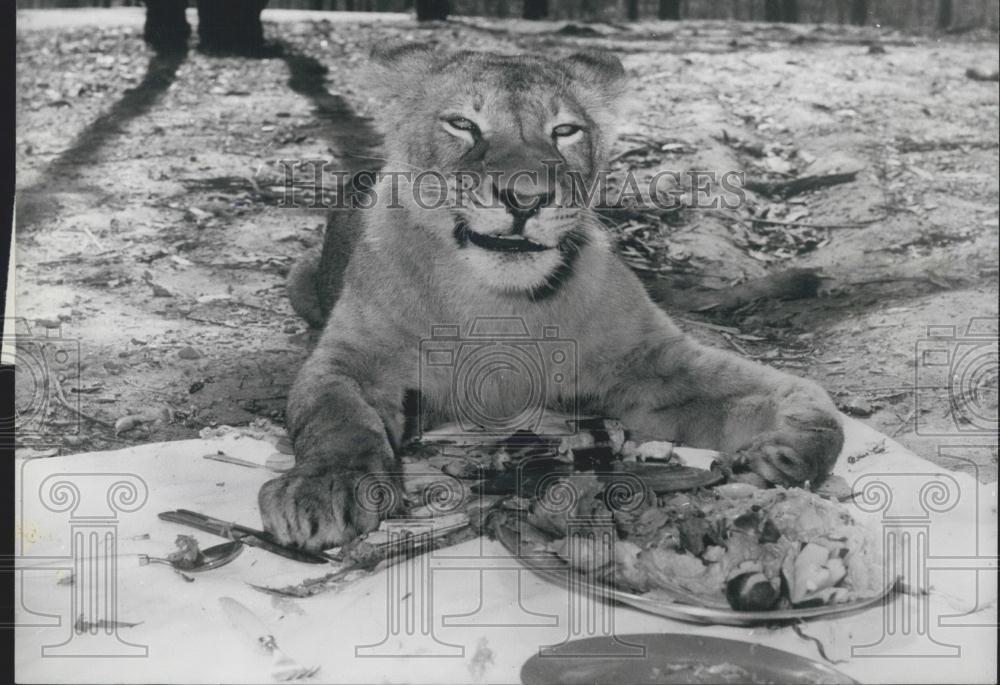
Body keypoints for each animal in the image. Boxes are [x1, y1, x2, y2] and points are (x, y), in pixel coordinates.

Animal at [260, 45, 844, 551]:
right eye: (463, 124)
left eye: (565, 131)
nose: (526, 197)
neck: (497, 304)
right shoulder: (353, 359)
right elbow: (336, 416)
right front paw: (323, 488)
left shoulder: (651, 365)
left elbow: (801, 396)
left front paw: (788, 450)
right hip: (300, 280)